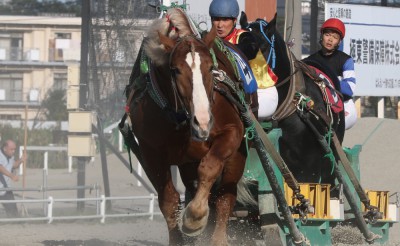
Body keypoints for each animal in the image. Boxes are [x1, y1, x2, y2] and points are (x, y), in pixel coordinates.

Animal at [125, 8, 255, 245]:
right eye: (175, 70)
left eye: (211, 68)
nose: (202, 121)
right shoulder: (150, 150)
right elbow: (168, 199)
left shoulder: (232, 132)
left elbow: (210, 168)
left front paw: (195, 216)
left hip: (239, 155)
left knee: (225, 197)